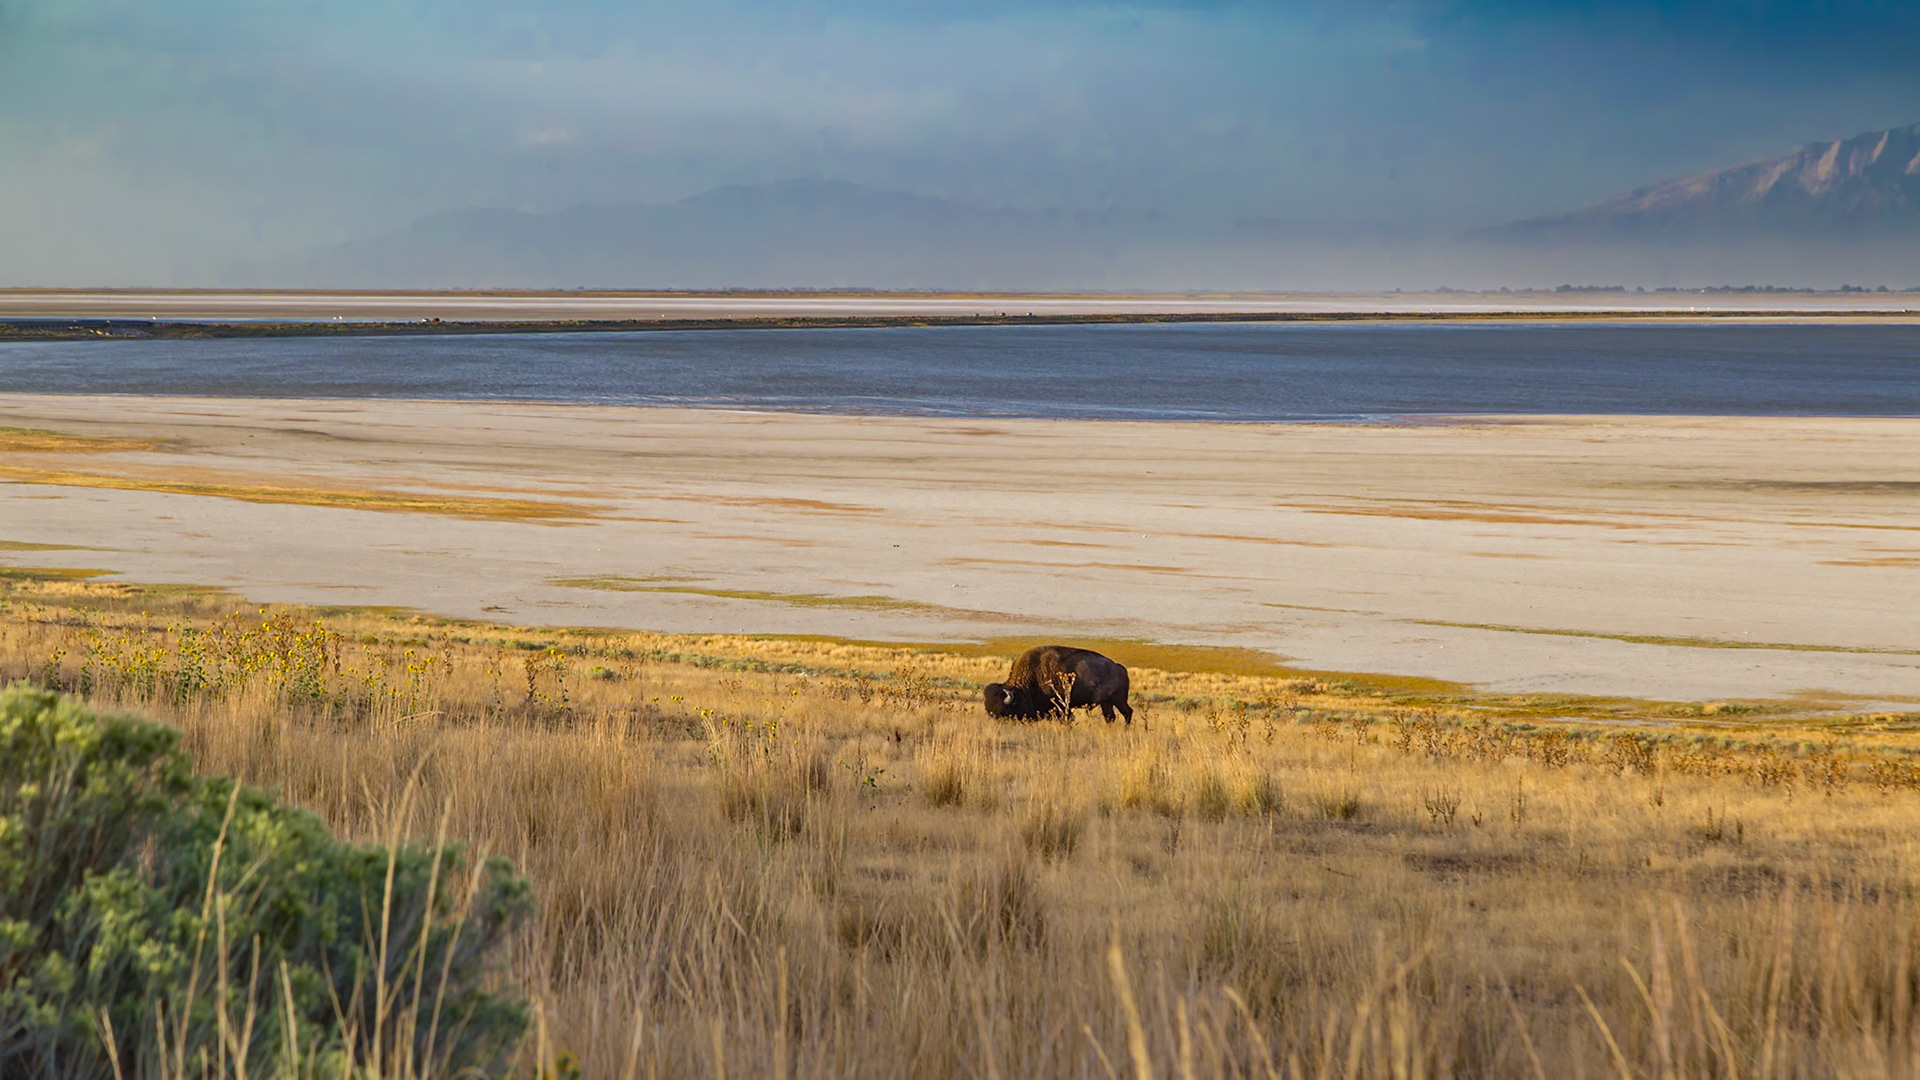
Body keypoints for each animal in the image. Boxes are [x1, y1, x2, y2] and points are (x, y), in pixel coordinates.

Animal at [983, 645, 1133, 724]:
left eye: (1003, 712)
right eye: (989, 712)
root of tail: (1120, 668)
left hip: (1119, 700)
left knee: (1127, 712)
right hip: (1106, 702)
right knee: (1110, 717)